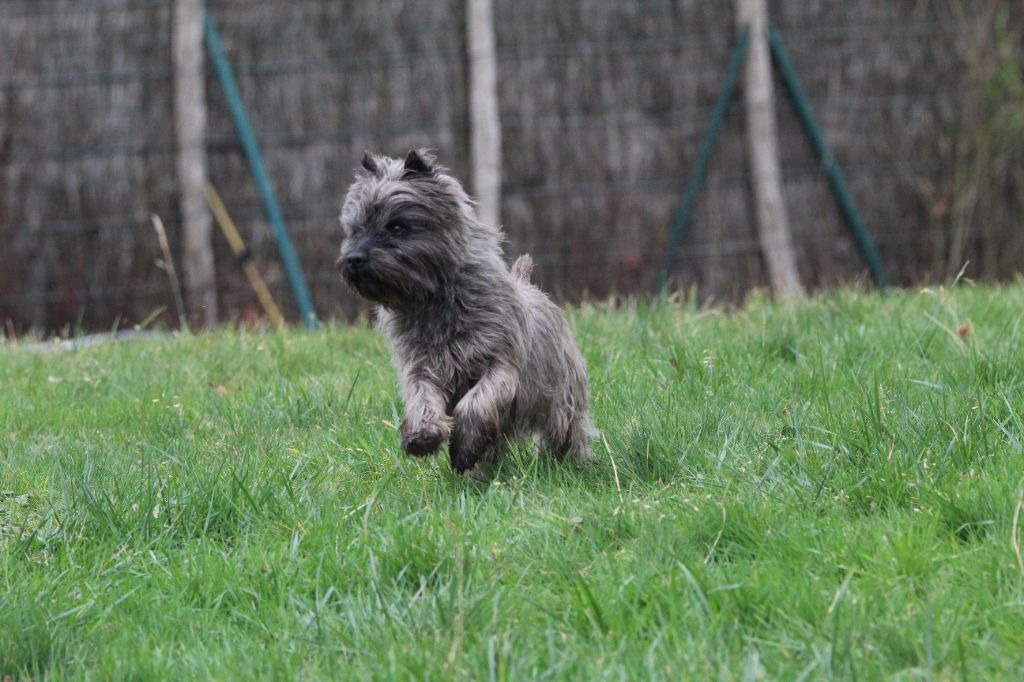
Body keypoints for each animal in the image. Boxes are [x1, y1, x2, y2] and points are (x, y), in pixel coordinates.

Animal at [337, 148, 593, 473]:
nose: (354, 259)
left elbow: (477, 401)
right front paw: (423, 435)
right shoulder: (421, 367)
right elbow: (422, 398)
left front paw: (463, 446)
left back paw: (570, 464)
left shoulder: (500, 363)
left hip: (562, 398)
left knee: (566, 431)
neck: (434, 301)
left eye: (396, 226)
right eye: (355, 230)